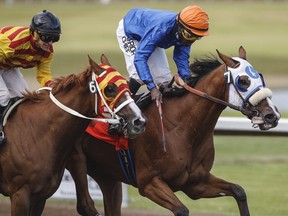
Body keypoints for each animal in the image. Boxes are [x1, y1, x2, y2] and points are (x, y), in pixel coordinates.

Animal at [0, 54, 146, 216]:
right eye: (109, 88)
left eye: (127, 84)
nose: (139, 121)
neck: (37, 134)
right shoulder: (20, 194)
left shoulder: (40, 196)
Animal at [66, 46, 280, 215]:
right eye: (243, 81)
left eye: (260, 77)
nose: (273, 115)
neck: (182, 127)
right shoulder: (149, 183)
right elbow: (182, 210)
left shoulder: (196, 183)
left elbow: (239, 191)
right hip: (76, 160)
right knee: (85, 205)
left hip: (106, 175)